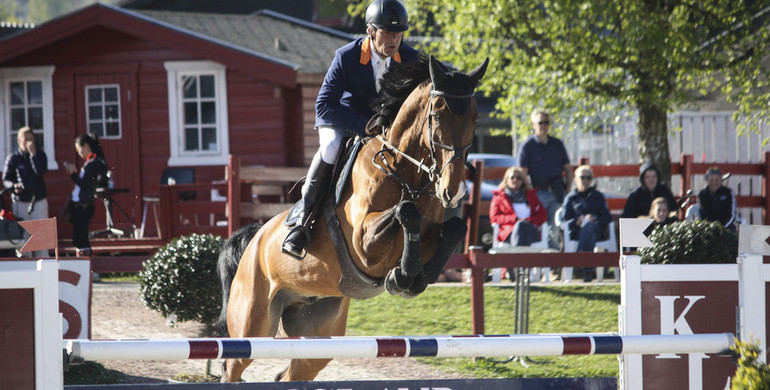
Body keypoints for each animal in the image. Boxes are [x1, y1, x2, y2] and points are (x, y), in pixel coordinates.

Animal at [216, 54, 486, 380]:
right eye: (436, 114)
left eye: (474, 118)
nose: (453, 191)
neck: (404, 172)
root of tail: (255, 237)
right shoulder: (363, 243)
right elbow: (405, 211)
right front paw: (402, 275)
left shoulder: (432, 231)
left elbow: (454, 227)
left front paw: (417, 277)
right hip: (253, 323)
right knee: (232, 365)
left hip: (317, 329)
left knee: (293, 372)